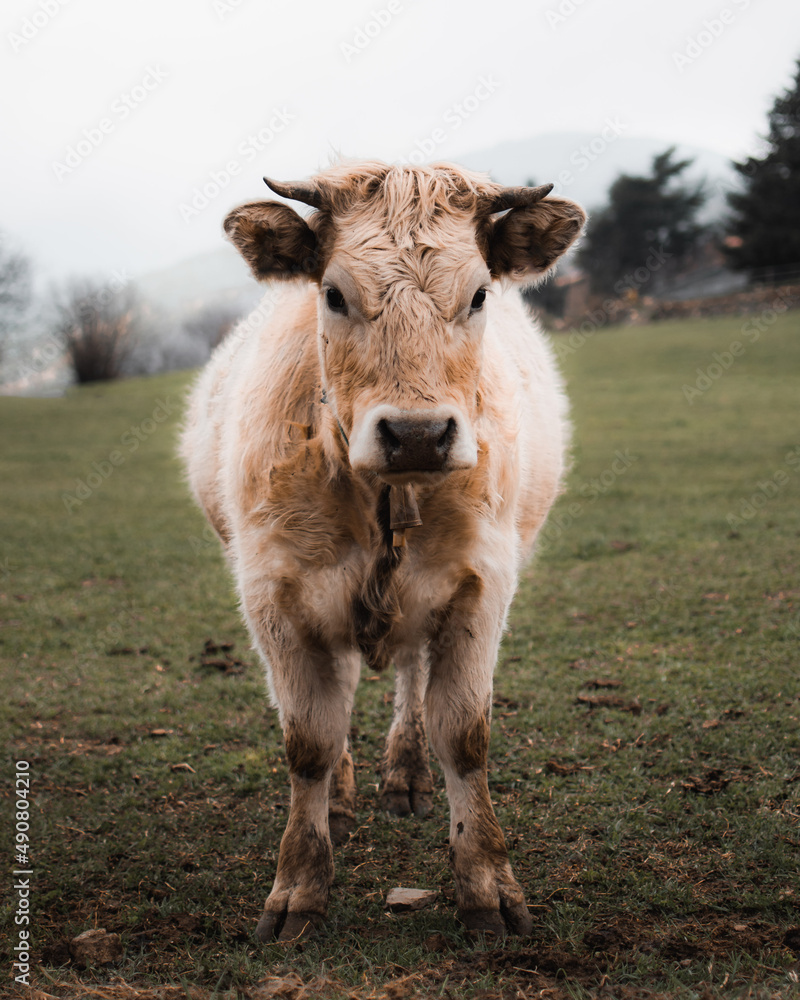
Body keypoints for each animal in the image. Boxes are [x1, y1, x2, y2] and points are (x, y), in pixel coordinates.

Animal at [178, 160, 584, 940]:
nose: (419, 435)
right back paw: (341, 795)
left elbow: (464, 733)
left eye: (478, 294)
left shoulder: (480, 587)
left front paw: (486, 884)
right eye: (334, 294)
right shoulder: (275, 595)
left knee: (411, 676)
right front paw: (298, 886)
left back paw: (406, 773)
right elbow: (307, 739)